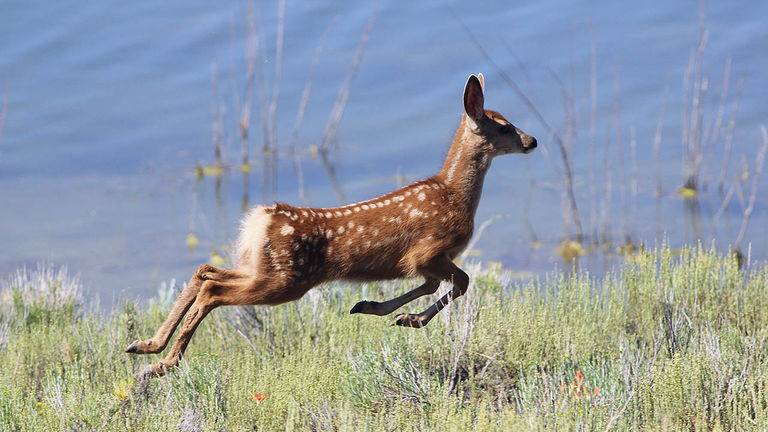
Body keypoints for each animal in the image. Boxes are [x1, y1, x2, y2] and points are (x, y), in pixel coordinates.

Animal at [125, 73, 537, 379]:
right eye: (505, 127)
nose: (532, 140)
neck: (454, 193)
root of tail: (262, 218)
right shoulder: (429, 250)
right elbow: (461, 282)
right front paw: (406, 318)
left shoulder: (426, 261)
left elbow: (434, 285)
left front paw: (377, 308)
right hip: (286, 279)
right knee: (213, 290)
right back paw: (161, 366)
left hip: (262, 268)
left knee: (205, 270)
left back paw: (144, 346)